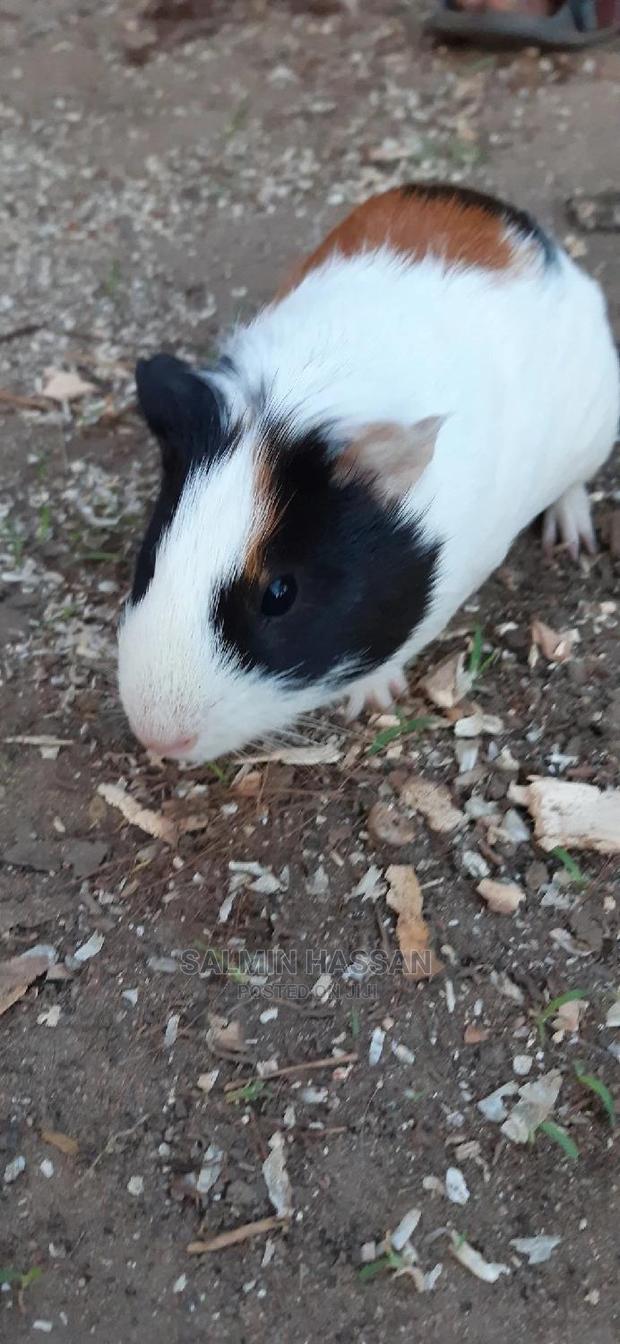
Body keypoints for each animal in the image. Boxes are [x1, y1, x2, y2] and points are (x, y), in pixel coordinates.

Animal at [118, 183, 619, 763]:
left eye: (280, 593)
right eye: (151, 560)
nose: (158, 738)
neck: (294, 407)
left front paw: (371, 700)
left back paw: (574, 540)